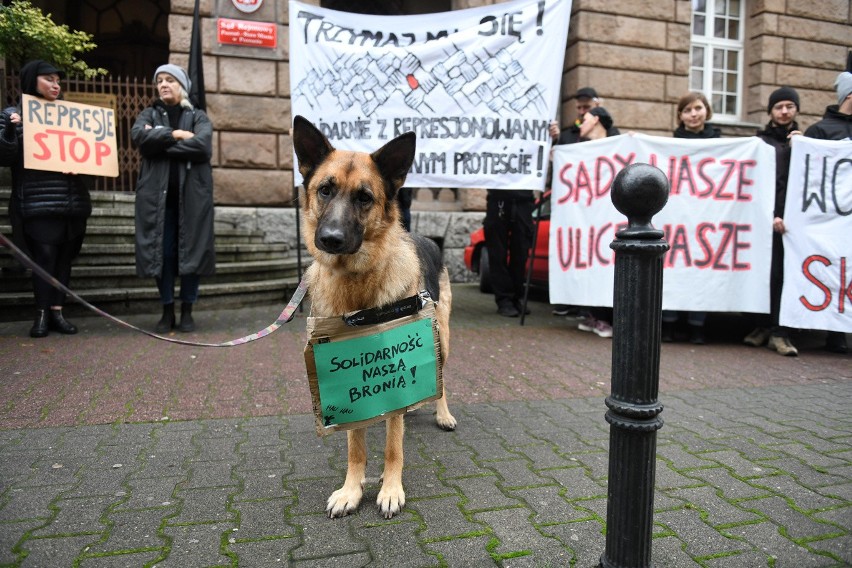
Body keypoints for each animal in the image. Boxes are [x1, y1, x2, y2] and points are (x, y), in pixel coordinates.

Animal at [292, 115, 456, 520]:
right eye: (325, 190)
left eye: (364, 197)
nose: (330, 239)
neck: (356, 283)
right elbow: (356, 444)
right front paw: (352, 490)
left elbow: (393, 445)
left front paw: (391, 488)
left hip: (442, 339)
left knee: (441, 382)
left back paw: (442, 413)